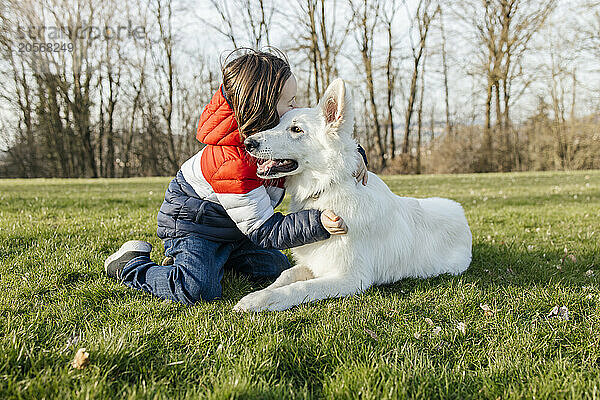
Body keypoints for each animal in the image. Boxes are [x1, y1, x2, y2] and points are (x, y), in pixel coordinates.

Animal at [232, 79, 472, 312]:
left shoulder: (352, 278)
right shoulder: (314, 262)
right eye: (278, 123)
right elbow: (286, 275)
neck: (330, 186)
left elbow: (300, 287)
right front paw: (260, 294)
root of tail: (461, 213)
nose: (248, 143)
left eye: (296, 129)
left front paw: (261, 300)